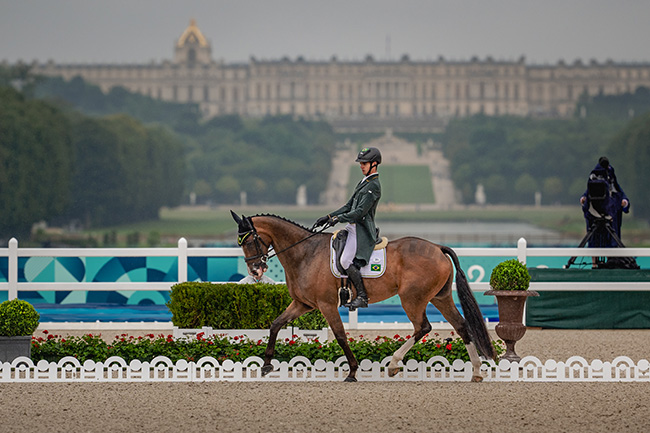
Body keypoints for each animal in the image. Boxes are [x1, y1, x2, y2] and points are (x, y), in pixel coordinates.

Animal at [229, 211, 496, 380]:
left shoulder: (326, 304)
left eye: (249, 241)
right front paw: (266, 365)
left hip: (413, 299)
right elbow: (275, 324)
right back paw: (476, 371)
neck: (305, 253)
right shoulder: (303, 304)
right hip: (440, 298)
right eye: (240, 242)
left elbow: (340, 335)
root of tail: (438, 248)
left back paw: (393, 364)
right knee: (461, 326)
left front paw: (353, 372)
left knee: (423, 327)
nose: (255, 270)